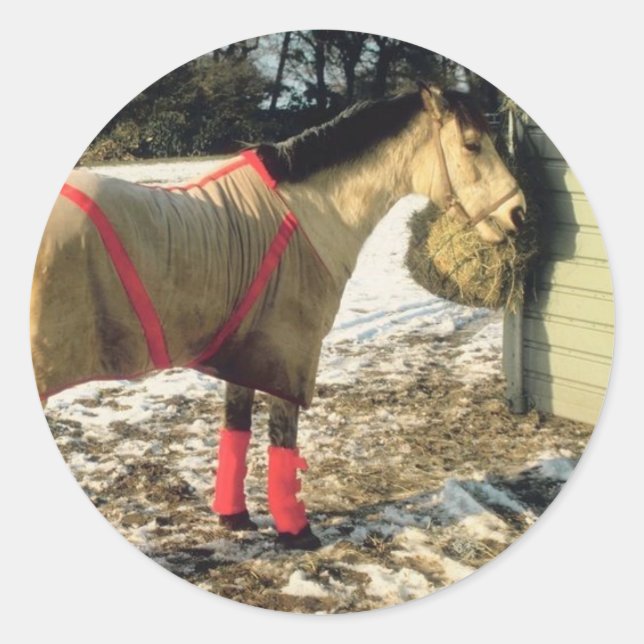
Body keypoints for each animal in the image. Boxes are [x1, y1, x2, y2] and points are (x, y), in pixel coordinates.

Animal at [31, 83, 527, 550]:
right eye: (472, 145)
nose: (518, 213)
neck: (309, 211)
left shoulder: (245, 358)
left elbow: (236, 429)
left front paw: (233, 517)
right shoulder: (291, 355)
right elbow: (282, 438)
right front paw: (296, 532)